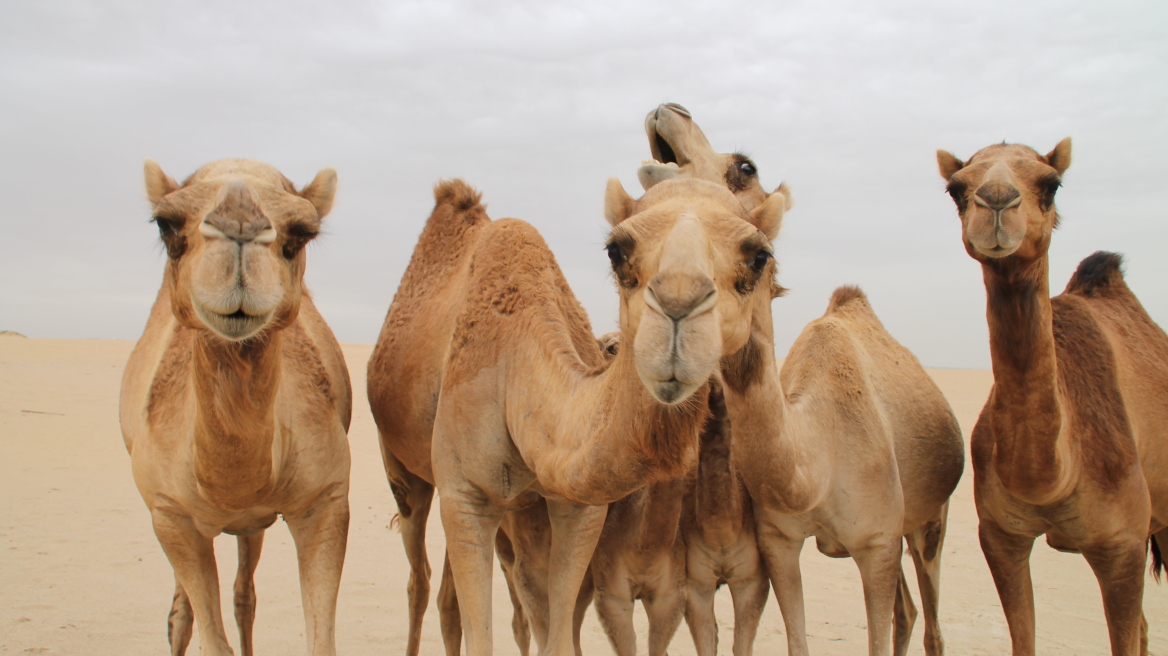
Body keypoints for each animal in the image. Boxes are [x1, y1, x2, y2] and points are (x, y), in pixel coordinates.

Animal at [122, 159, 355, 653]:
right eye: (166, 225)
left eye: (302, 232)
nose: (240, 219)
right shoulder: (170, 514)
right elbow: (211, 639)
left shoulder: (325, 500)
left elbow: (320, 638)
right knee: (182, 612)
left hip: (252, 524)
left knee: (243, 593)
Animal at [364, 175, 789, 653]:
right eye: (616, 250)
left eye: (759, 257)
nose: (679, 305)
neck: (513, 364)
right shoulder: (465, 496)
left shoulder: (578, 509)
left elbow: (560, 634)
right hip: (403, 470)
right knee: (418, 577)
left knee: (449, 598)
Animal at [939, 138, 1168, 653]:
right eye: (956, 189)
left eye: (1051, 184)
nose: (996, 201)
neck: (1054, 475)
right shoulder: (1001, 537)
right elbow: (1023, 637)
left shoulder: (1122, 545)